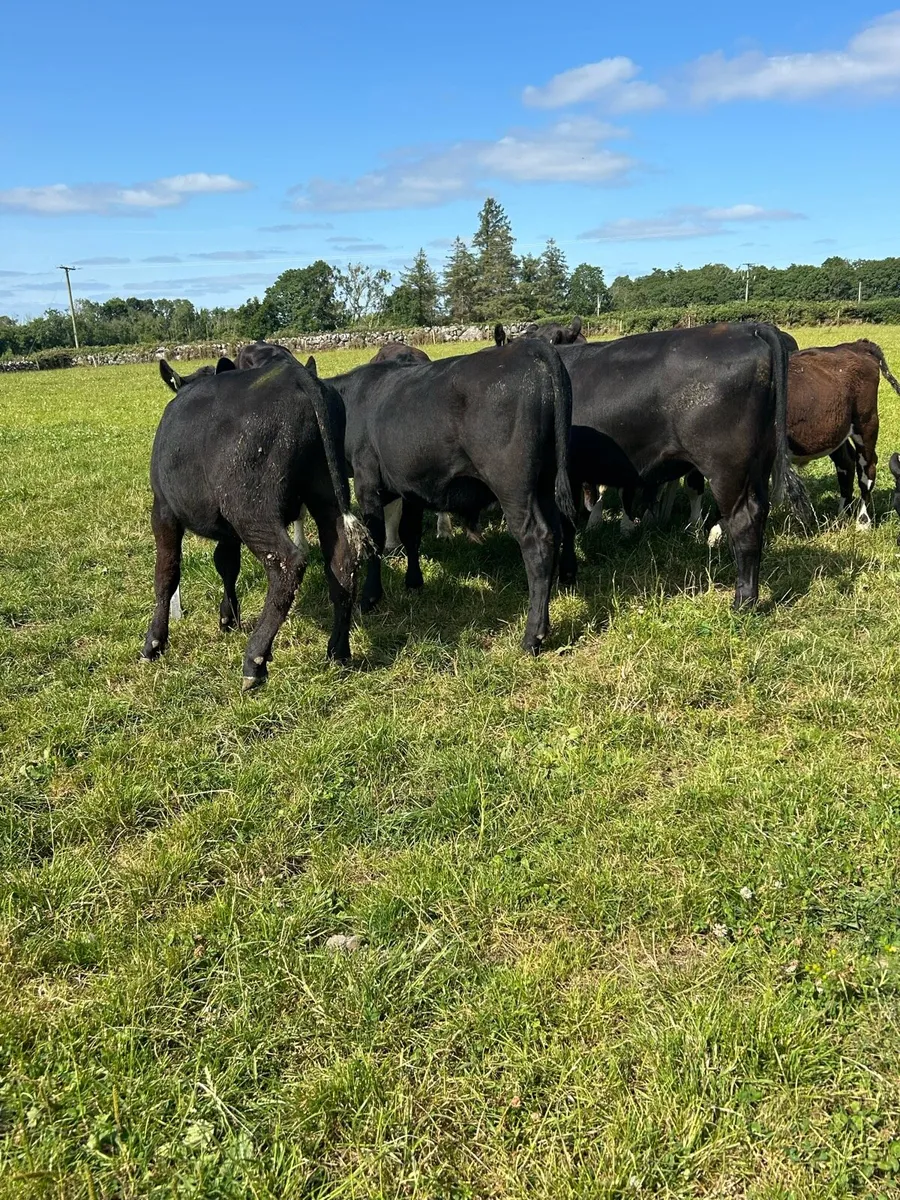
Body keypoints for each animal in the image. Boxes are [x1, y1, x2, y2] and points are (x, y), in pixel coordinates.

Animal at [142, 354, 369, 689]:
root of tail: (296, 375)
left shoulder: (163, 508)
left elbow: (167, 573)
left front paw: (154, 642)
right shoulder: (228, 530)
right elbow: (226, 564)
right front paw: (228, 617)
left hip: (251, 508)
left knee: (287, 562)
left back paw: (255, 660)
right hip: (324, 492)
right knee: (342, 560)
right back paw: (338, 651)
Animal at [327, 339, 576, 653]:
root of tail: (527, 348)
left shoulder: (367, 481)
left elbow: (375, 539)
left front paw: (370, 597)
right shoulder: (411, 487)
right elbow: (410, 533)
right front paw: (414, 581)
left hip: (514, 486)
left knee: (537, 541)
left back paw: (532, 636)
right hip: (546, 483)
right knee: (556, 531)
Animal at [557, 322, 811, 609]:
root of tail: (749, 328)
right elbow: (567, 523)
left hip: (727, 469)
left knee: (744, 521)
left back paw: (743, 601)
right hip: (759, 465)